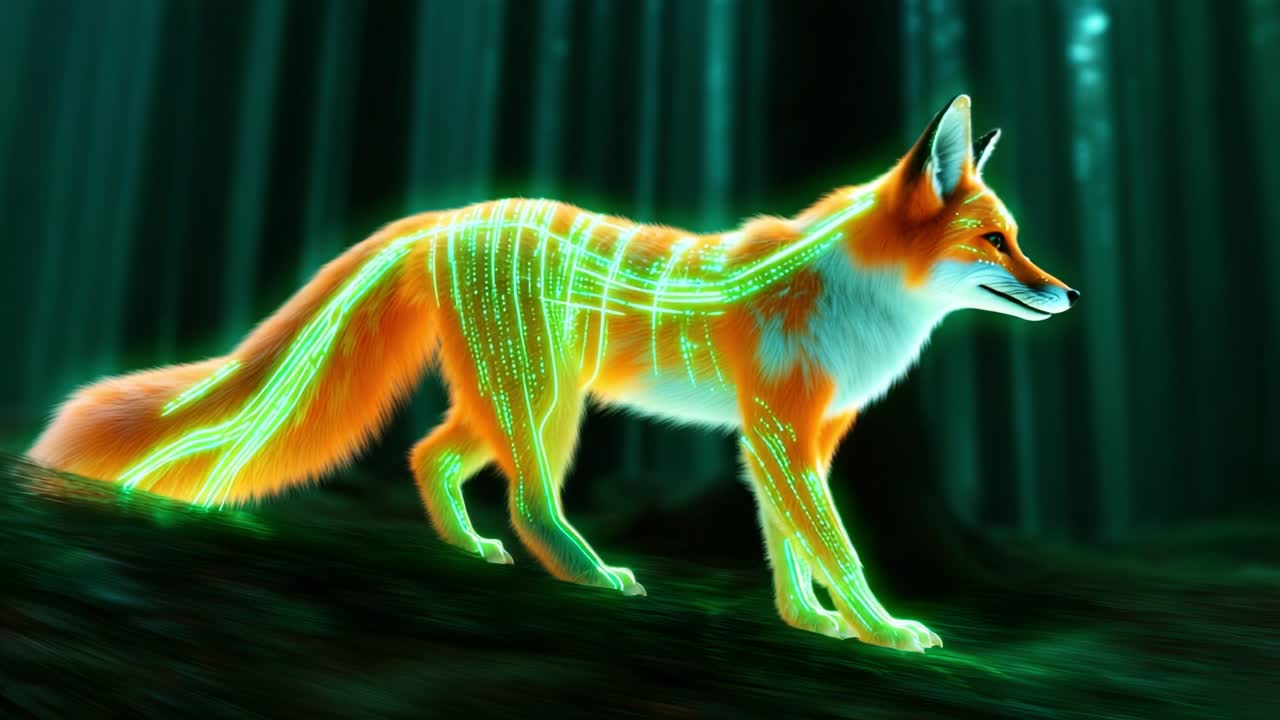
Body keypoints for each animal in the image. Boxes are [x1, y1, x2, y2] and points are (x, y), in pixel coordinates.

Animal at [29, 95, 1076, 653]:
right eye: (996, 241)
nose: (1065, 293)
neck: (863, 299)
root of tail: (452, 215)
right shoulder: (780, 430)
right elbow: (839, 547)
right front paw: (885, 632)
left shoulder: (788, 438)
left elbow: (791, 548)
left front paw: (808, 623)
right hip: (547, 401)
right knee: (528, 498)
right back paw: (591, 575)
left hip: (520, 400)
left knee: (429, 455)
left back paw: (470, 551)